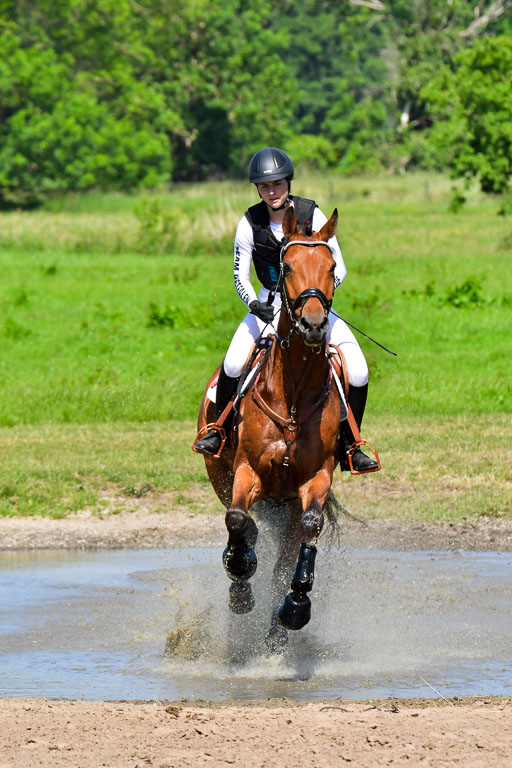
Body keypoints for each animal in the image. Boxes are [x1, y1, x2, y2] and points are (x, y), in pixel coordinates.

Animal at [194, 206, 345, 649]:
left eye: (332, 267)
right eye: (288, 265)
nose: (313, 325)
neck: (292, 394)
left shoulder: (315, 478)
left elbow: (309, 531)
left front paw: (295, 606)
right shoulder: (246, 470)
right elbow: (237, 521)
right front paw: (240, 577)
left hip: (287, 504)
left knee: (283, 551)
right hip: (222, 474)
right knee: (244, 522)